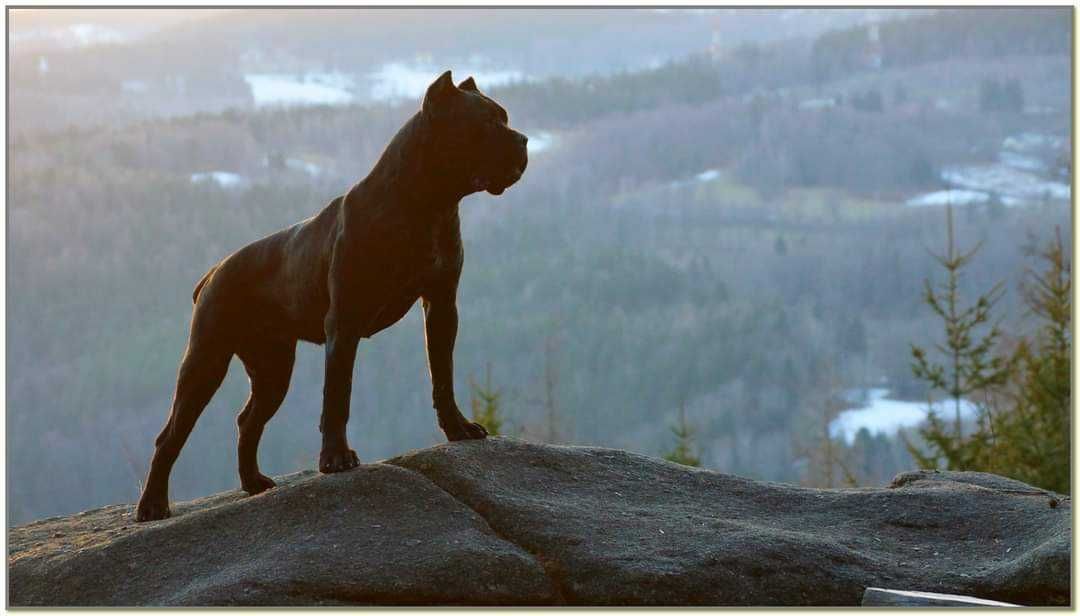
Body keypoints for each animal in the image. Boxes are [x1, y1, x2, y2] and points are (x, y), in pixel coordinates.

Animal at [135, 72, 527, 523]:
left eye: (504, 118)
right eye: (486, 123)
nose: (523, 140)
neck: (425, 203)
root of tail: (213, 271)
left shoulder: (442, 307)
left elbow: (441, 375)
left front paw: (457, 428)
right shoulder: (344, 323)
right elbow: (338, 394)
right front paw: (336, 459)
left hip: (272, 370)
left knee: (248, 421)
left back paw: (253, 483)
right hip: (206, 361)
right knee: (171, 434)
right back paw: (152, 504)